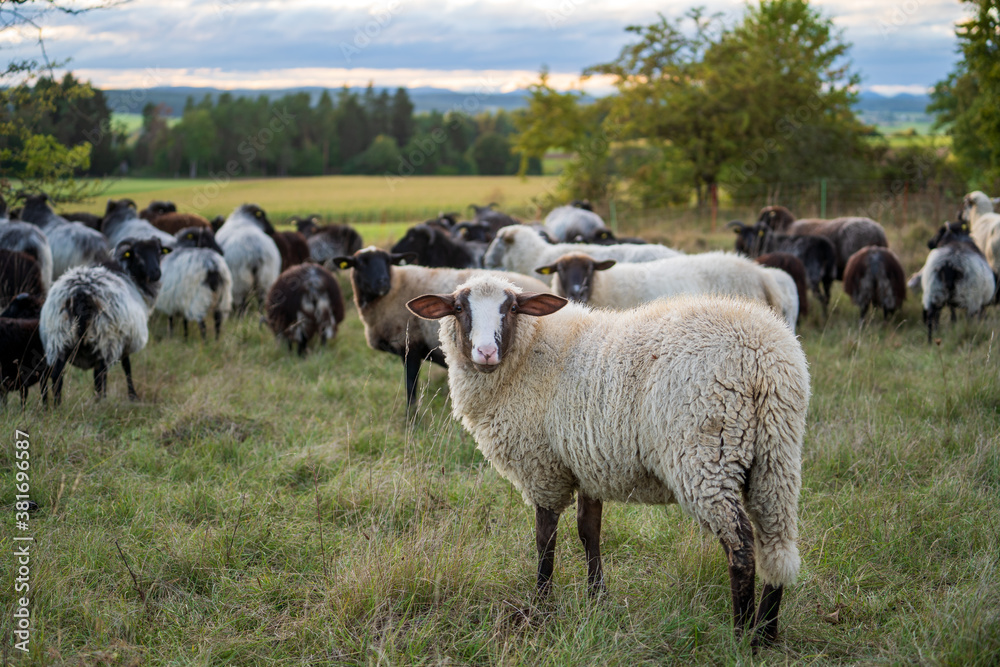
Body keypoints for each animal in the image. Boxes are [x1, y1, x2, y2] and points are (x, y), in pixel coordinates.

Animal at [40, 238, 170, 404]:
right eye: (137, 255)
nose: (156, 274)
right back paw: (101, 402)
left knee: (57, 375)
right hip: (105, 337)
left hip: (59, 337)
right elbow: (127, 367)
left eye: (159, 252)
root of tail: (80, 293)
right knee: (100, 375)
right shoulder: (124, 340)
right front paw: (133, 396)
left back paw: (58, 405)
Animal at [333, 246, 550, 407]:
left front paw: (411, 422)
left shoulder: (410, 346)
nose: (382, 282)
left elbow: (410, 387)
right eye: (360, 263)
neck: (394, 289)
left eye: (388, 262)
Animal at [407, 275, 809, 646]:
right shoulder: (588, 463)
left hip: (706, 453)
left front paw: (542, 604)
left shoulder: (542, 468)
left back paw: (741, 637)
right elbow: (590, 532)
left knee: (741, 544)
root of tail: (764, 356)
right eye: (460, 308)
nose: (486, 352)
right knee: (776, 544)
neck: (529, 353)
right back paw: (766, 633)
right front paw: (598, 599)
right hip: (777, 455)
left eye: (514, 308)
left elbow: (545, 538)